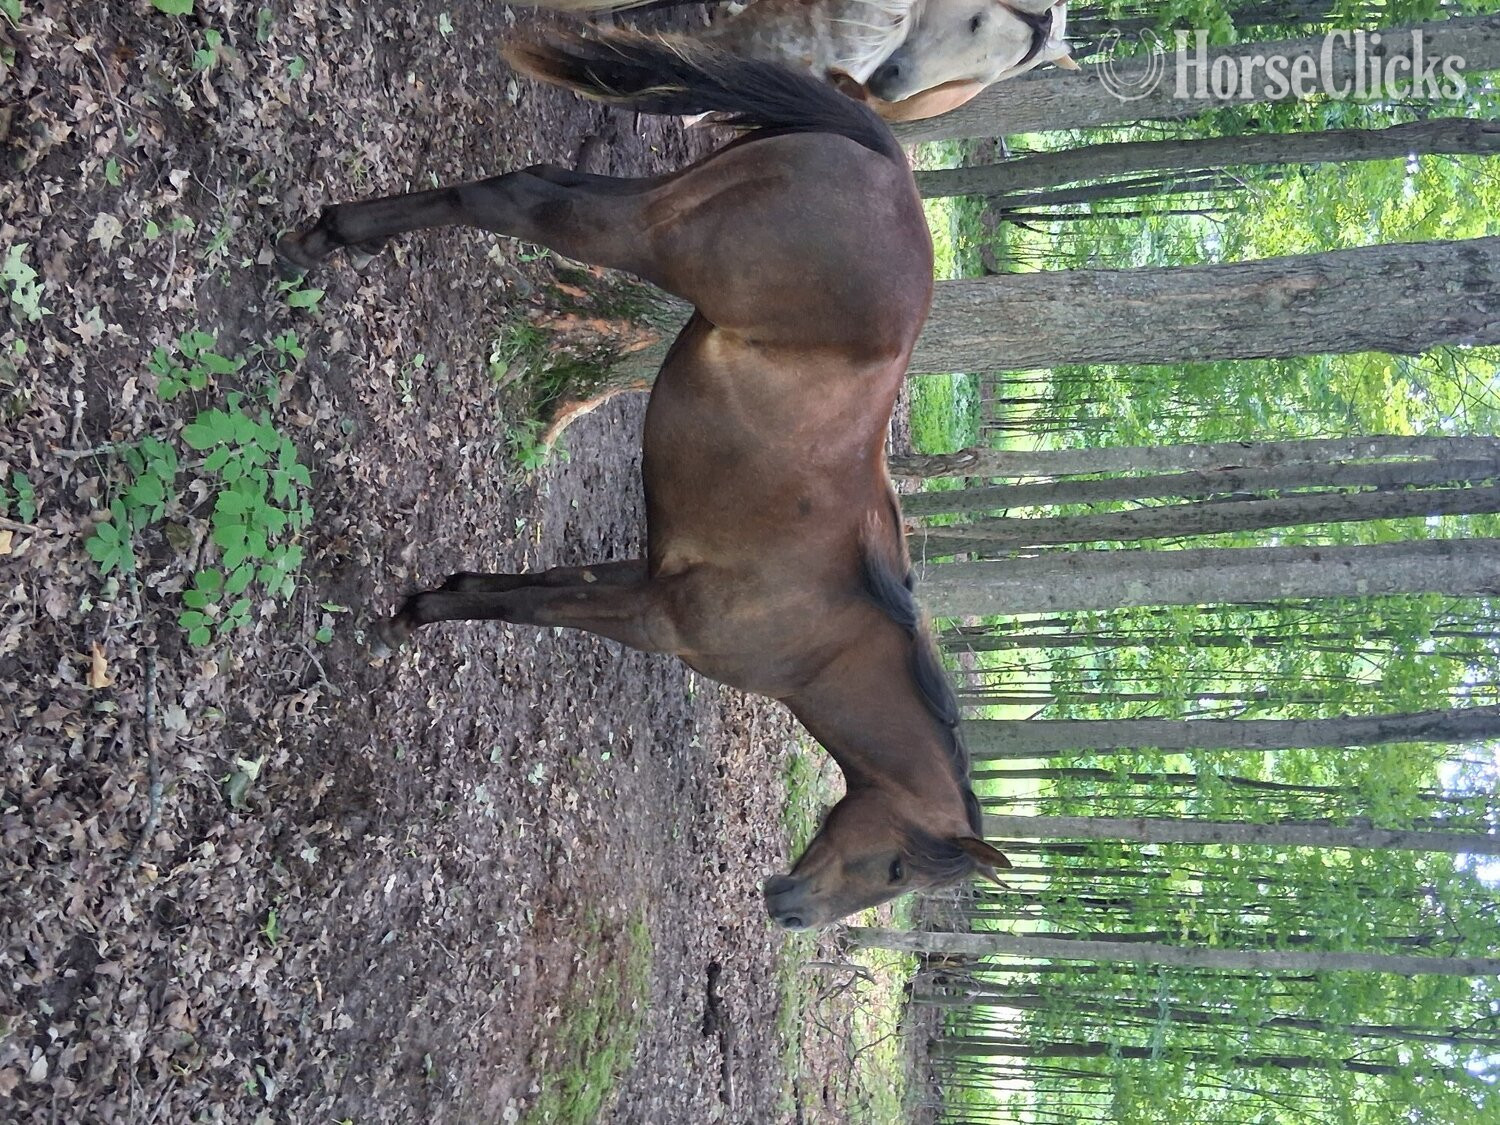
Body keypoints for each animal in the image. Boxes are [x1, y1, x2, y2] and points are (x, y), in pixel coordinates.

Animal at [276, 30, 1011, 929]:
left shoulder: (646, 574)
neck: (828, 635)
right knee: (519, 198)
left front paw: (441, 591)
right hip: (649, 234)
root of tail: (887, 163)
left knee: (545, 181)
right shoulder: (655, 620)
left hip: (666, 195)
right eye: (900, 868)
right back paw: (330, 235)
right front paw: (421, 614)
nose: (788, 910)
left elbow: (541, 585)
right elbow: (535, 609)